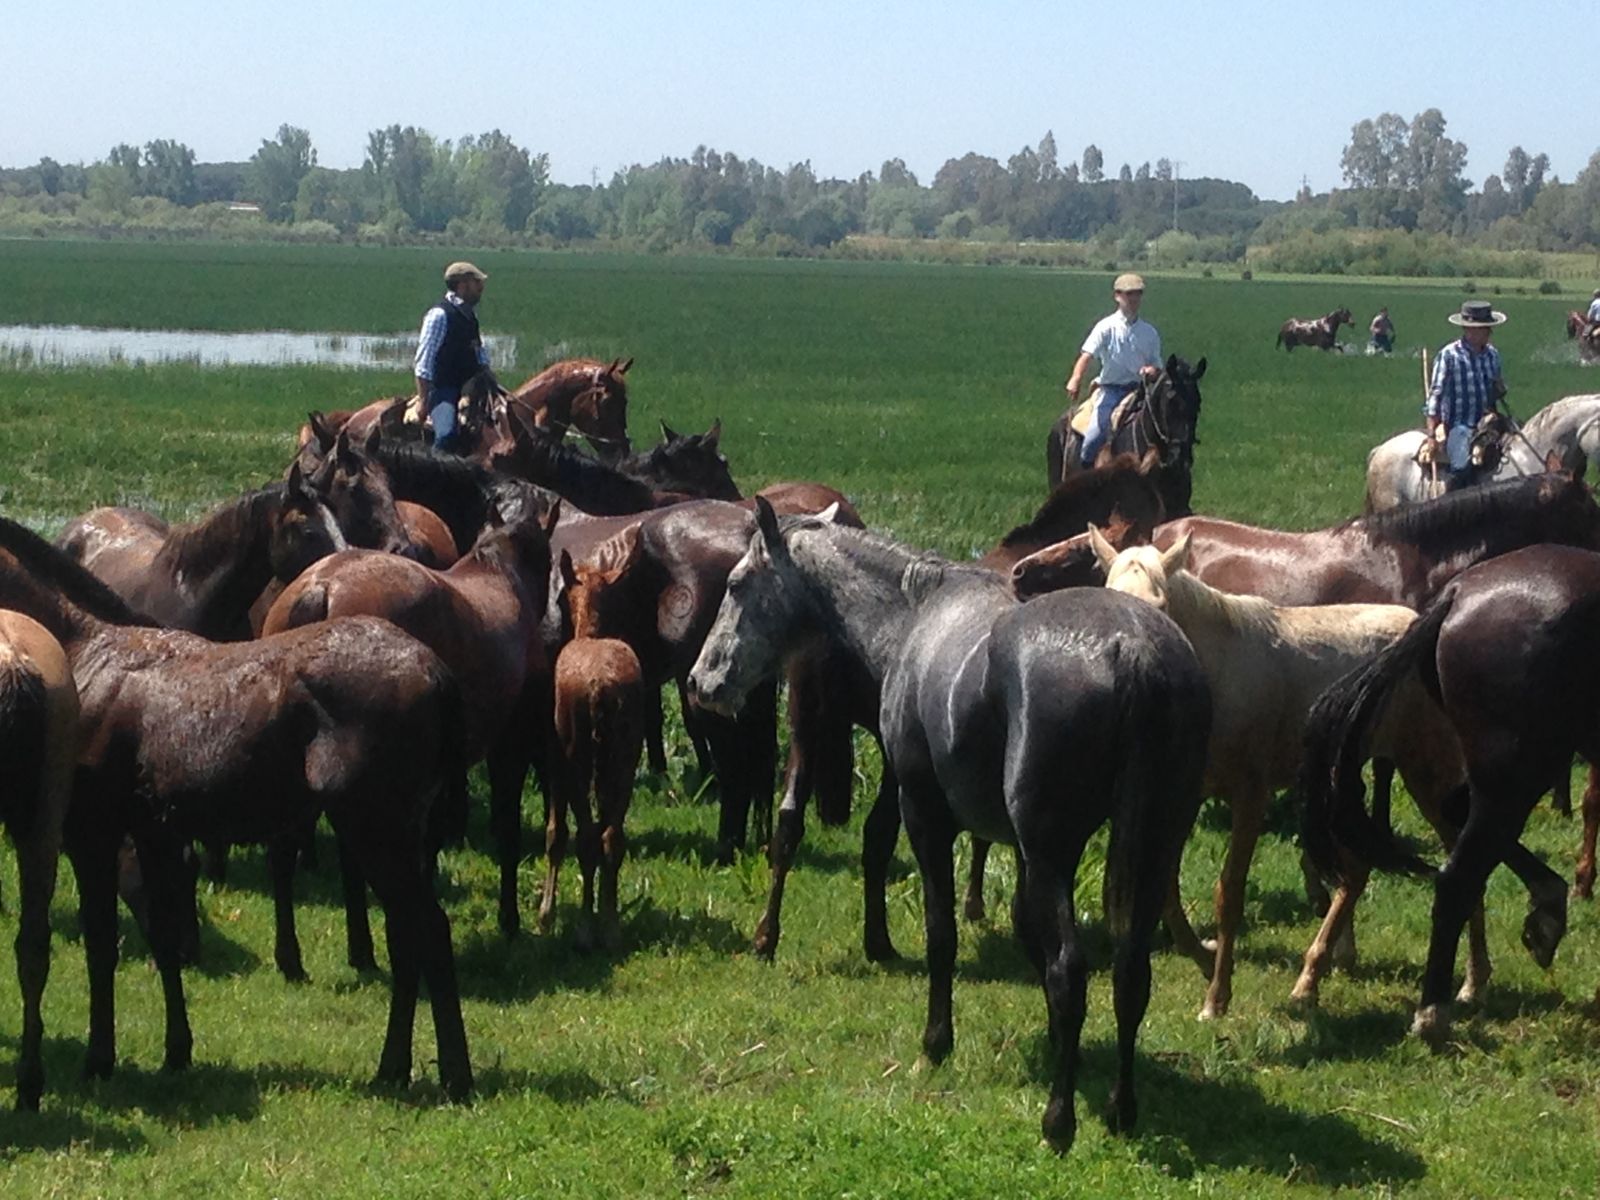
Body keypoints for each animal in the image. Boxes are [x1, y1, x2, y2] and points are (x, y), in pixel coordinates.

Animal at [0, 516, 472, 1096]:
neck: (91, 655)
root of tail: (434, 669)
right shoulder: (154, 836)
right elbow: (163, 936)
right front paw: (176, 1050)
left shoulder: (94, 838)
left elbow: (101, 943)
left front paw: (99, 1058)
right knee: (411, 938)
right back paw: (399, 1067)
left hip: (378, 834)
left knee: (425, 933)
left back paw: (442, 1073)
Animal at [538, 551, 647, 950]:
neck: (590, 630)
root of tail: (601, 687)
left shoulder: (554, 760)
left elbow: (555, 834)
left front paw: (546, 914)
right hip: (626, 753)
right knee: (611, 837)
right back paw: (611, 925)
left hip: (577, 755)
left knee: (585, 838)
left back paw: (586, 928)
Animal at [687, 500, 1211, 1152]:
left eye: (737, 584)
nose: (702, 682)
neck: (915, 613)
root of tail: (1129, 648)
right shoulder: (1017, 849)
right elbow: (1026, 933)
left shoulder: (926, 815)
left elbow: (943, 933)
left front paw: (936, 1043)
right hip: (1157, 843)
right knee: (1129, 970)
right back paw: (1120, 1106)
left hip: (1054, 851)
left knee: (1072, 970)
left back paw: (1058, 1120)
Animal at [1087, 527, 1470, 1018]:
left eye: (1160, 607)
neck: (1218, 678)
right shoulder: (1186, 794)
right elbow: (1166, 891)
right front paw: (1206, 958)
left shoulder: (1251, 795)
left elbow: (1230, 892)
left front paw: (1217, 996)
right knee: (1356, 870)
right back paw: (1314, 976)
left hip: (1426, 770)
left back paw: (1471, 984)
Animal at [1300, 544, 1600, 1048]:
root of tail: (1458, 594)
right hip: (1519, 768)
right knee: (1458, 876)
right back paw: (1432, 1011)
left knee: (1459, 818)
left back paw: (1545, 910)